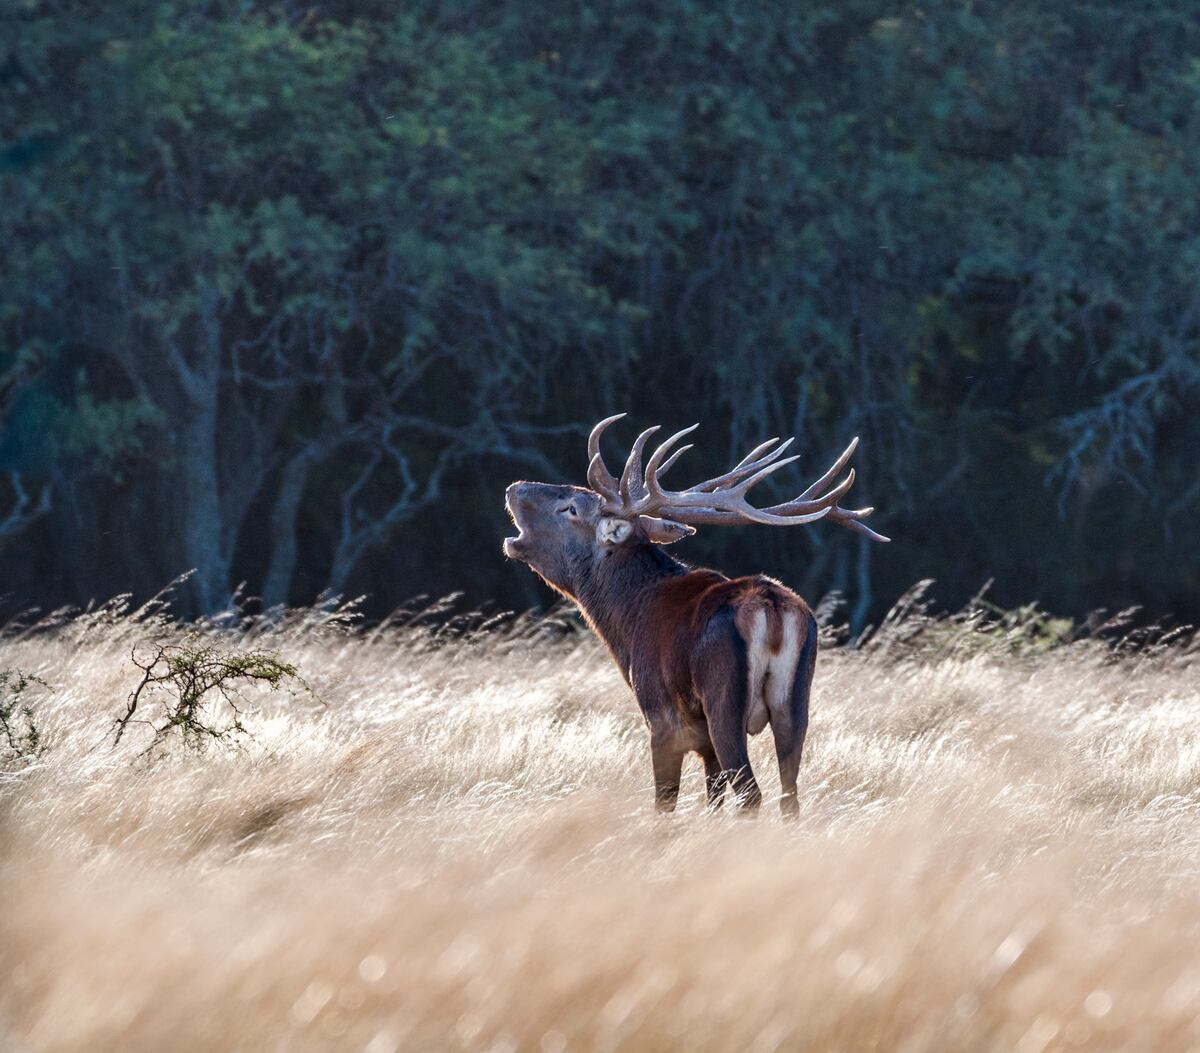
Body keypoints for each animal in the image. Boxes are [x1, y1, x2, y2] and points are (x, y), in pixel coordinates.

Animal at [503, 414, 889, 816]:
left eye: (572, 509)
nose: (514, 488)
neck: (628, 623)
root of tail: (772, 609)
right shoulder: (702, 739)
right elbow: (713, 800)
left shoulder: (662, 718)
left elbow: (664, 804)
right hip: (795, 701)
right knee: (789, 796)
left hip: (723, 701)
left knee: (751, 794)